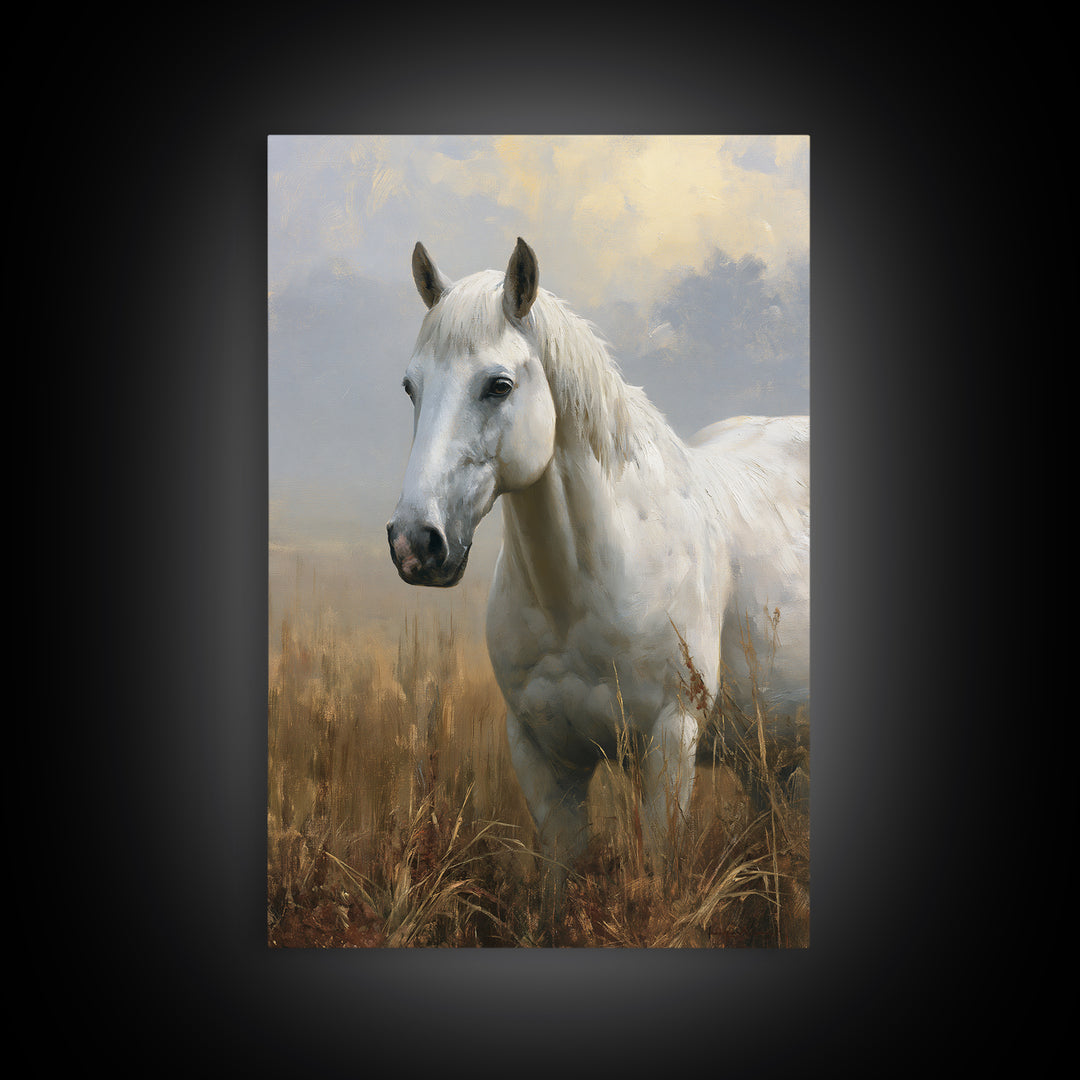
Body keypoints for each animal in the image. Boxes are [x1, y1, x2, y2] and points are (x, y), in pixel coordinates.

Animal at [387, 237, 809, 922]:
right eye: (410, 386)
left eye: (499, 386)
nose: (414, 543)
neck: (586, 588)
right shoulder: (542, 755)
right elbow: (560, 883)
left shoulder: (669, 745)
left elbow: (659, 874)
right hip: (766, 752)